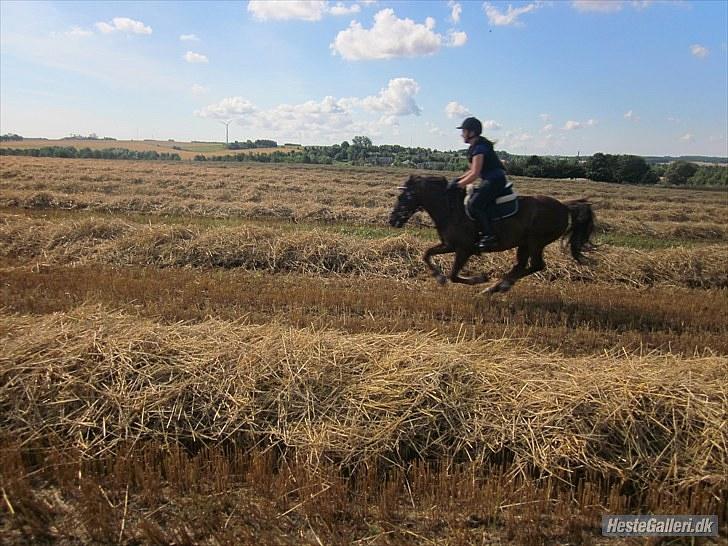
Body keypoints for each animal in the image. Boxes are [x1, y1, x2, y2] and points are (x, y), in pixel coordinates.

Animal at [390, 174, 596, 294]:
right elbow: (427, 254)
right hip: (524, 244)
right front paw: (438, 277)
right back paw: (497, 287)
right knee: (522, 266)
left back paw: (497, 287)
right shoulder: (449, 245)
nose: (392, 220)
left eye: (404, 197)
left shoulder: (464, 250)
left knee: (537, 265)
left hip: (535, 242)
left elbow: (454, 275)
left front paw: (480, 278)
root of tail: (564, 206)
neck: (451, 209)